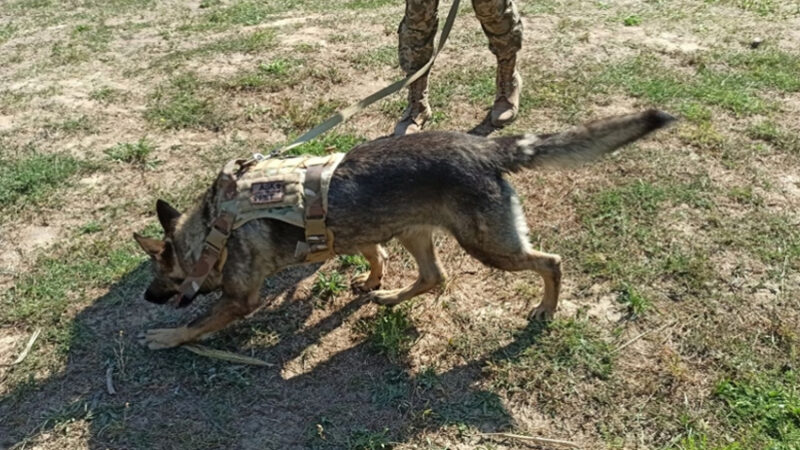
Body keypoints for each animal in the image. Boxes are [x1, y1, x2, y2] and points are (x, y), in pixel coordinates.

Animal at [134, 110, 672, 350]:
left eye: (163, 276)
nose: (146, 298)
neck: (214, 228)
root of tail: (486, 148)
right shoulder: (365, 234)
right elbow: (375, 255)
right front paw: (374, 280)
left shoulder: (240, 299)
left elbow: (200, 323)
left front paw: (166, 336)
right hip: (419, 233)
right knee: (434, 277)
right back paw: (390, 297)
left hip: (489, 247)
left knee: (550, 262)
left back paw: (545, 308)